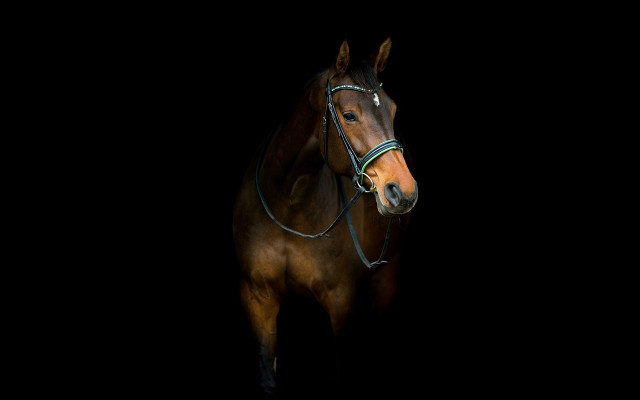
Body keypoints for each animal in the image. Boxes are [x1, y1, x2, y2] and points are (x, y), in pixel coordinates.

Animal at [232, 37, 418, 398]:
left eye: (392, 110)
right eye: (349, 115)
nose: (403, 191)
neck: (288, 200)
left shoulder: (341, 301)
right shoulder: (257, 297)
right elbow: (267, 375)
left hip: (385, 281)